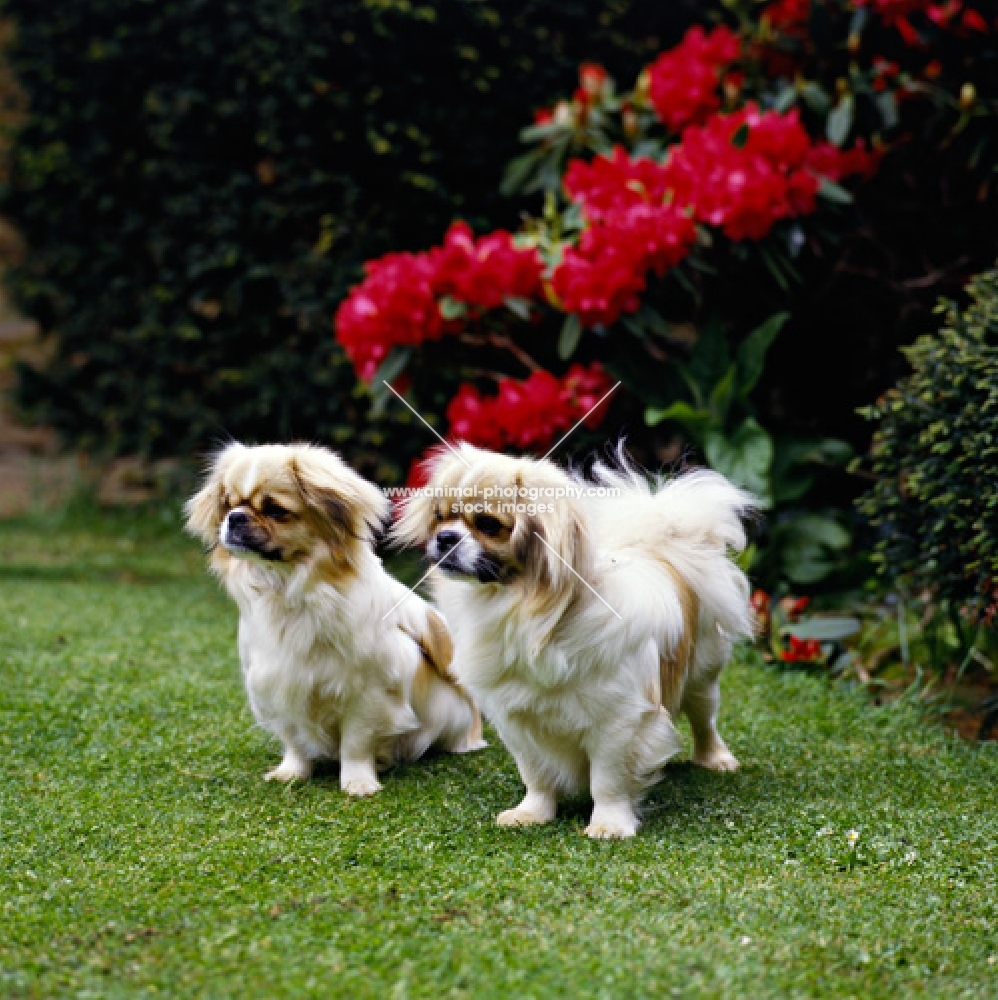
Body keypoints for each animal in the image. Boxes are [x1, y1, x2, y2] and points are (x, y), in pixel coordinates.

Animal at [188, 446, 488, 796]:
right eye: (229, 504)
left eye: (275, 510)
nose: (235, 517)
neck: (287, 588)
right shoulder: (278, 684)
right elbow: (294, 740)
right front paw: (292, 772)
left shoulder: (366, 693)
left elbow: (356, 744)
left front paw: (358, 783)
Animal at [394, 446, 752, 836]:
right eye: (440, 518)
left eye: (488, 524)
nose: (446, 538)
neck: (525, 614)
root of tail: (663, 551)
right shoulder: (516, 720)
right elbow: (536, 775)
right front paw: (532, 814)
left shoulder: (617, 722)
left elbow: (607, 780)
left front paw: (609, 825)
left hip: (702, 677)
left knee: (705, 721)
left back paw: (716, 760)